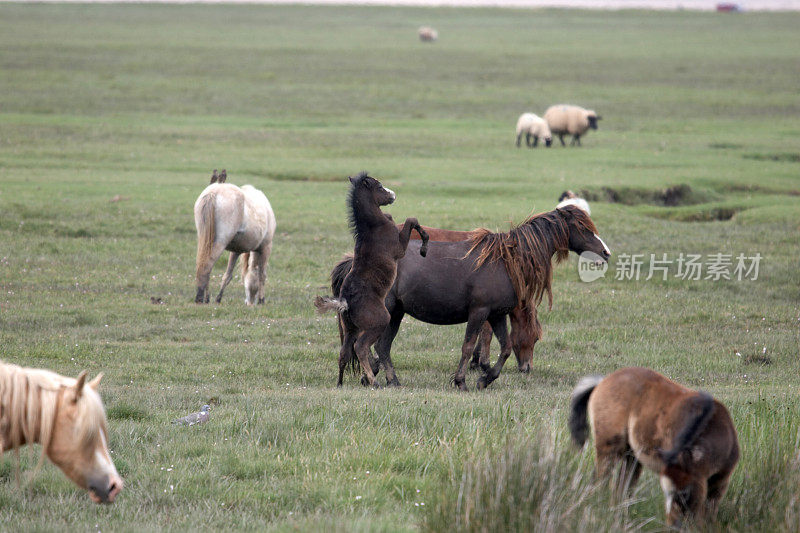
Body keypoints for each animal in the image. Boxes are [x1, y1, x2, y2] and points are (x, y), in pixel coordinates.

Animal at [195, 170, 278, 304]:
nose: (249, 303)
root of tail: (213, 192)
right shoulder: (266, 247)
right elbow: (262, 275)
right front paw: (261, 300)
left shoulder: (236, 251)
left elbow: (228, 275)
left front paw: (218, 299)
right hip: (219, 243)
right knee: (206, 266)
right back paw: (200, 298)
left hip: (205, 240)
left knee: (204, 263)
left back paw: (206, 298)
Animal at [314, 174, 432, 386]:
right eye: (379, 186)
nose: (393, 195)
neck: (374, 226)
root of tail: (345, 302)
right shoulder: (399, 248)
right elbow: (412, 220)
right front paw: (424, 248)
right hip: (379, 322)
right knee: (361, 347)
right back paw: (373, 381)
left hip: (350, 329)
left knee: (344, 353)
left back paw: (340, 384)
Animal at [568, 364, 736, 524]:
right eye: (670, 495)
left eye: (684, 495)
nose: (673, 525)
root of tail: (603, 381)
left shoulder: (719, 482)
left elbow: (707, 515)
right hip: (610, 449)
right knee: (599, 481)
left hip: (632, 457)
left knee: (622, 489)